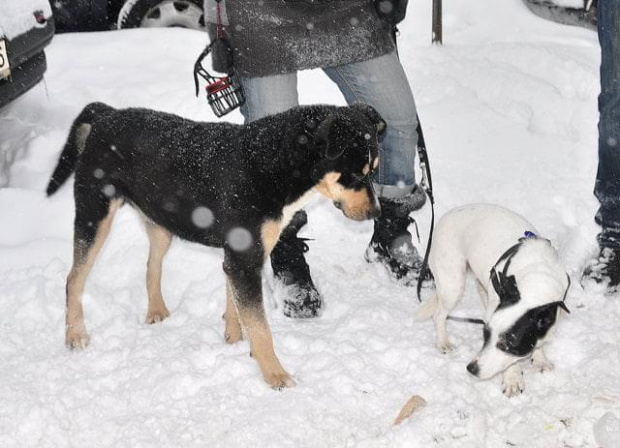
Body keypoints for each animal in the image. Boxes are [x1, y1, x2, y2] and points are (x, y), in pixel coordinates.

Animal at [47, 101, 382, 388]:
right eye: (355, 175)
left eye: (375, 169)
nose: (376, 213)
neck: (274, 161)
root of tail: (106, 114)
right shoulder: (243, 260)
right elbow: (260, 326)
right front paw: (274, 374)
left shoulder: (240, 257)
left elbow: (236, 307)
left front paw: (234, 340)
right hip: (95, 214)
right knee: (73, 279)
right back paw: (75, 336)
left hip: (162, 223)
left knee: (151, 265)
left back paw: (156, 310)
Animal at [414, 203, 568, 396]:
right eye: (485, 335)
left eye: (507, 344)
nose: (471, 369)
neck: (536, 279)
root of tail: (449, 213)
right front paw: (512, 379)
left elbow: (538, 342)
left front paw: (540, 359)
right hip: (453, 283)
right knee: (439, 314)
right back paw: (443, 343)